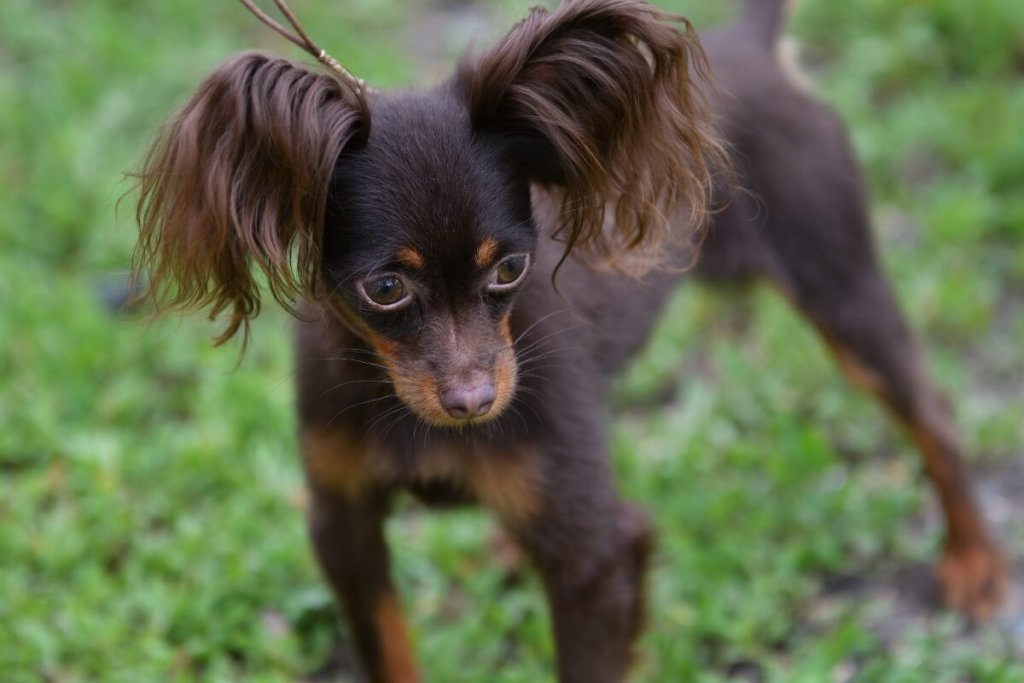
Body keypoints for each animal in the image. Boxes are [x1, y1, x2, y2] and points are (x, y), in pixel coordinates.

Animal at [132, 1, 1003, 679]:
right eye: (384, 288)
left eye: (512, 266)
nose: (475, 402)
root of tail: (751, 43)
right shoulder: (342, 523)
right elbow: (388, 650)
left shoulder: (597, 556)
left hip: (841, 285)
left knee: (932, 413)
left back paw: (975, 561)